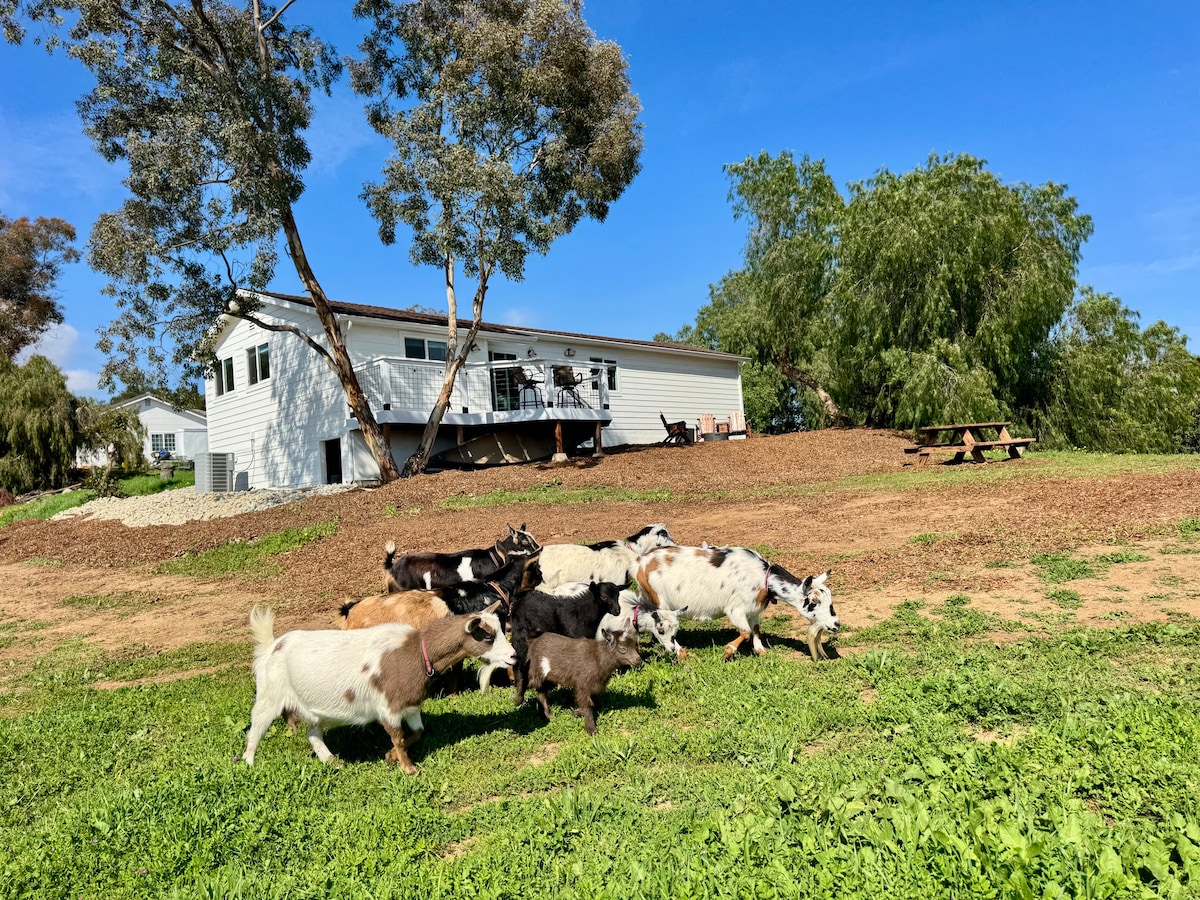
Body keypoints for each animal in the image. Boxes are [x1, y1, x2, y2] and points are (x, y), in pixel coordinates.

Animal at [243, 603, 514, 773]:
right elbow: (398, 737)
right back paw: (249, 765)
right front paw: (408, 768)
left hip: (310, 709)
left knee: (313, 733)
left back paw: (332, 762)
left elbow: (417, 733)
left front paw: (389, 757)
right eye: (487, 636)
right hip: (269, 697)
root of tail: (271, 646)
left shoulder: (411, 705)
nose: (513, 656)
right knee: (254, 731)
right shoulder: (388, 707)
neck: (417, 651)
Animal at [636, 546, 839, 661]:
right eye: (813, 601)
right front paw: (727, 652)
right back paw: (680, 652)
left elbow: (755, 630)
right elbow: (746, 632)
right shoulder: (735, 609)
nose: (836, 625)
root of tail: (640, 562)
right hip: (660, 600)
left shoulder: (754, 610)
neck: (762, 577)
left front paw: (761, 651)